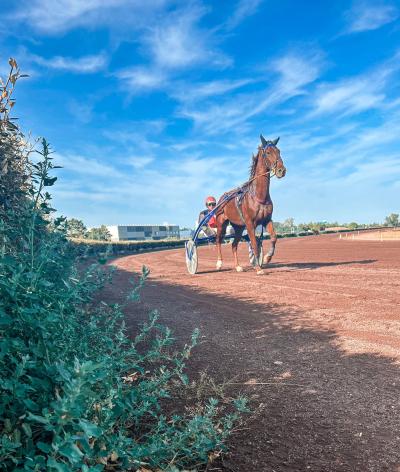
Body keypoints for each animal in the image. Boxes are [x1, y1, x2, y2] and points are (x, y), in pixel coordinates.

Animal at [214, 135, 286, 274]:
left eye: (279, 151)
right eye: (268, 152)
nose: (281, 170)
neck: (259, 196)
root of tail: (222, 197)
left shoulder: (267, 220)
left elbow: (274, 238)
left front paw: (267, 258)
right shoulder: (250, 223)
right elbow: (254, 244)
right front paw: (258, 267)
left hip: (238, 227)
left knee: (234, 245)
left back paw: (238, 267)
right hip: (221, 223)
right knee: (218, 240)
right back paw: (219, 263)